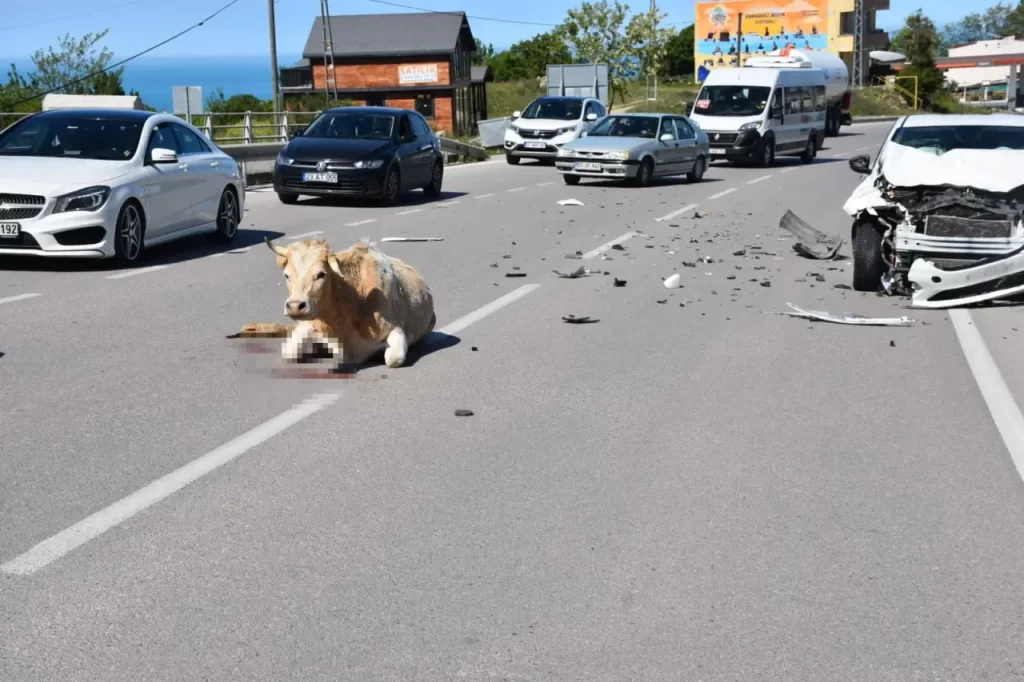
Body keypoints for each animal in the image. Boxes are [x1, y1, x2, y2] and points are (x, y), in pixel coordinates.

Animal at [237, 237, 434, 368]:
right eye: (286, 275)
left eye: (321, 274)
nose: (295, 306)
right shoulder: (310, 324)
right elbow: (289, 352)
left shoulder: (395, 328)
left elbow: (393, 359)